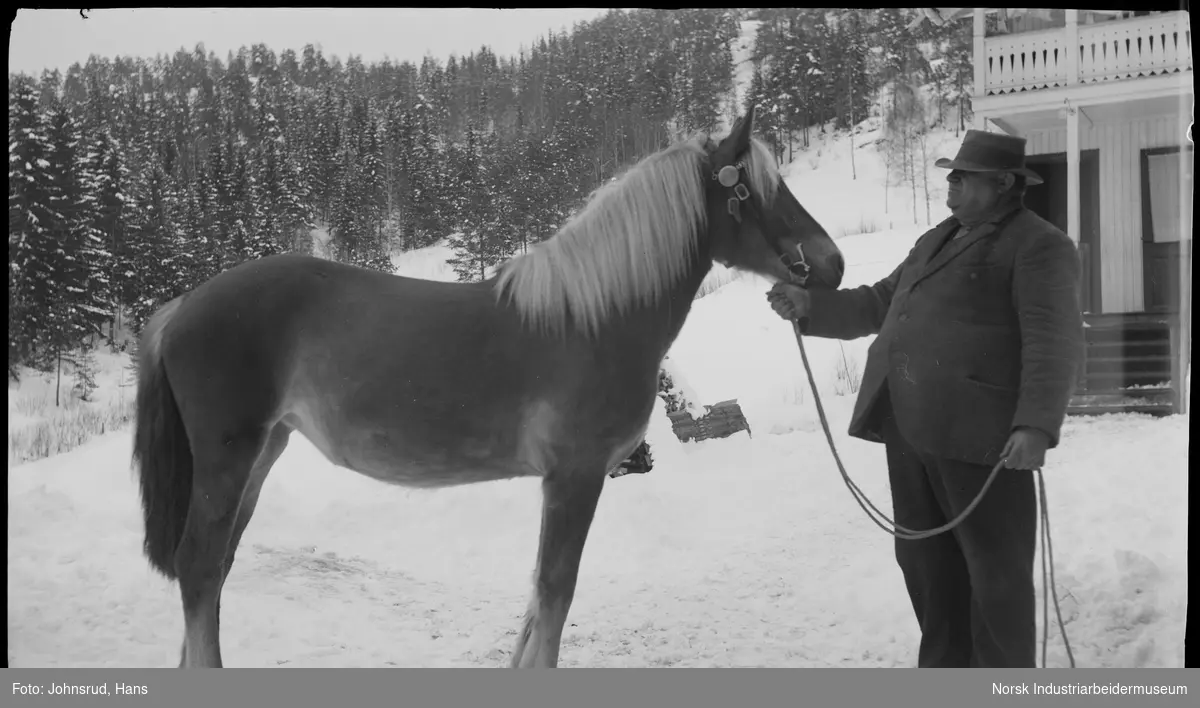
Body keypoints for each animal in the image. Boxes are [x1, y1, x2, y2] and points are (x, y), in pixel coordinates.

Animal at [133, 102, 844, 667]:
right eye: (758, 190)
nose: (832, 264)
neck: (593, 318)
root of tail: (181, 308)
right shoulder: (576, 477)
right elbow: (556, 594)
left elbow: (537, 599)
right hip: (228, 458)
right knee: (199, 567)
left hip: (263, 453)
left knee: (216, 568)